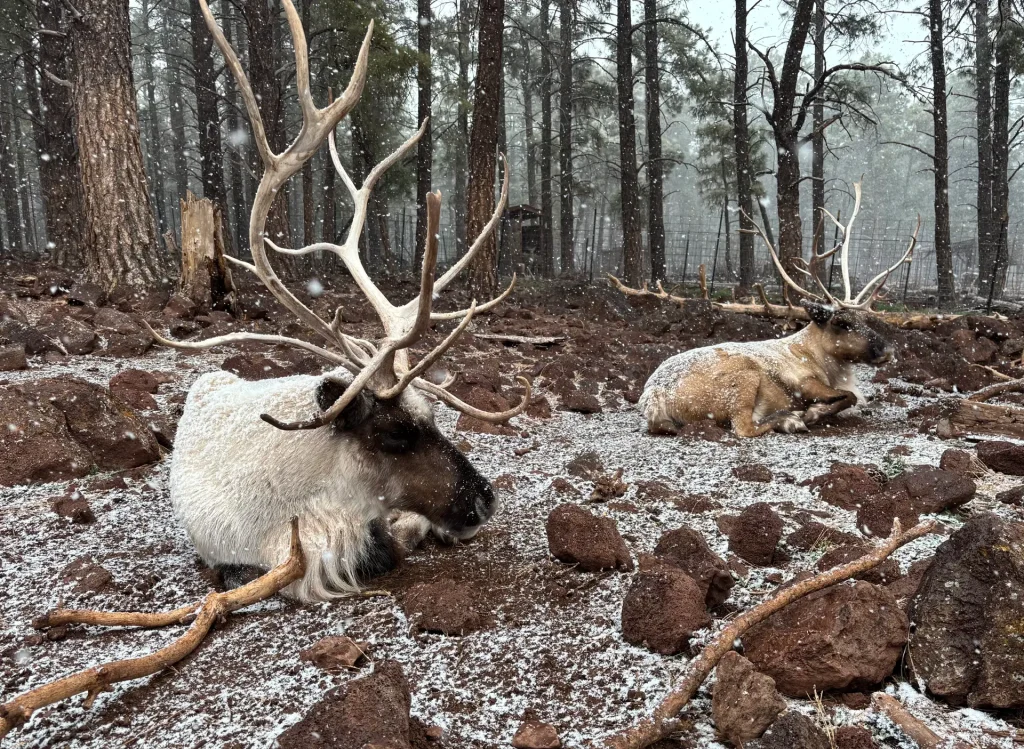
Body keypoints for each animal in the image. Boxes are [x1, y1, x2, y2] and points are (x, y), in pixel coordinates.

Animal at [639, 182, 917, 438]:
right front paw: (811, 413)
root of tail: (653, 397)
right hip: (744, 380)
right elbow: (848, 396)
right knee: (743, 427)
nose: (888, 350)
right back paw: (790, 420)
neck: (827, 365)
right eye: (841, 323)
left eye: (863, 318)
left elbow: (854, 398)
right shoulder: (805, 383)